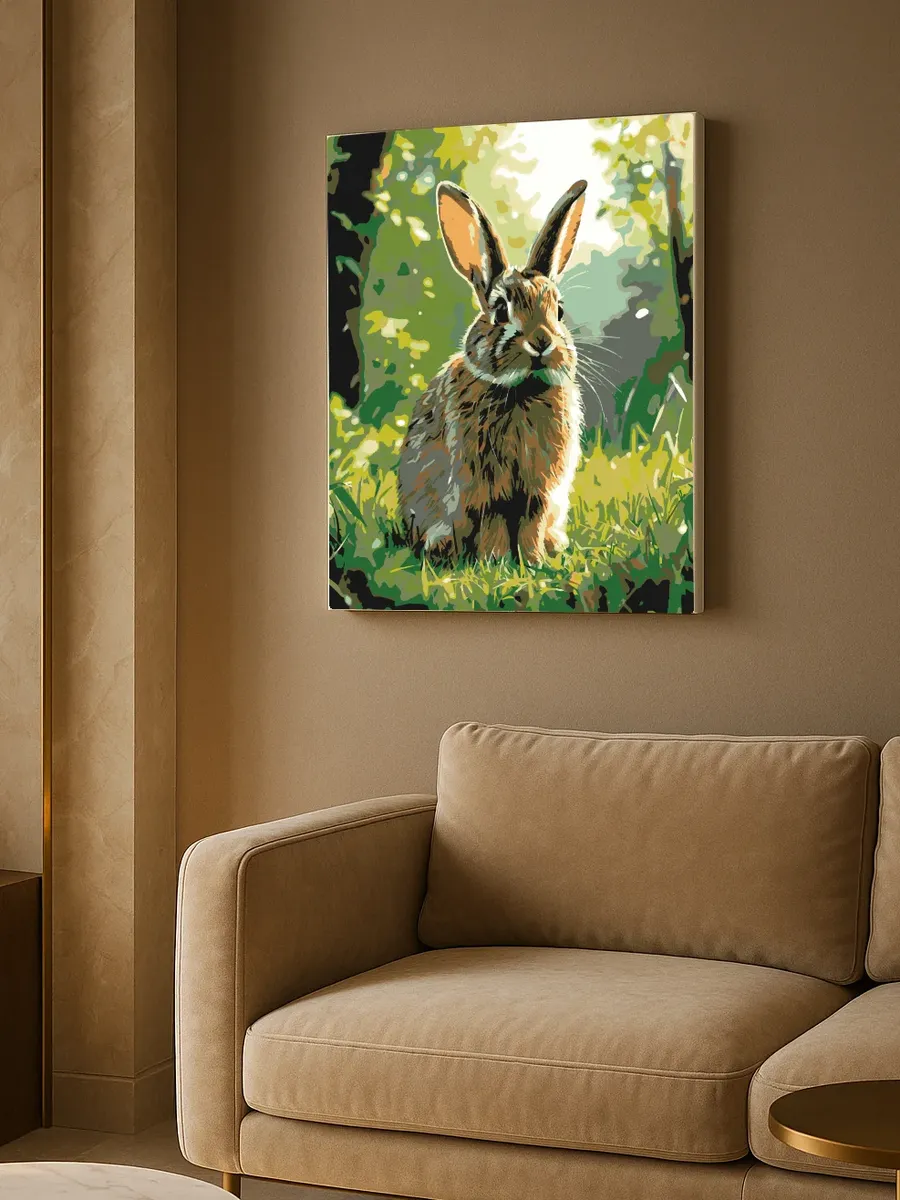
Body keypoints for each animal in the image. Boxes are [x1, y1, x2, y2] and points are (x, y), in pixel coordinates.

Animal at [398, 178, 587, 565]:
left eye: (558, 311)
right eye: (501, 310)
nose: (541, 342)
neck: (522, 391)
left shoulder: (538, 490)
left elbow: (532, 522)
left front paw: (533, 563)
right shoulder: (484, 489)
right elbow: (493, 524)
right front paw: (495, 563)